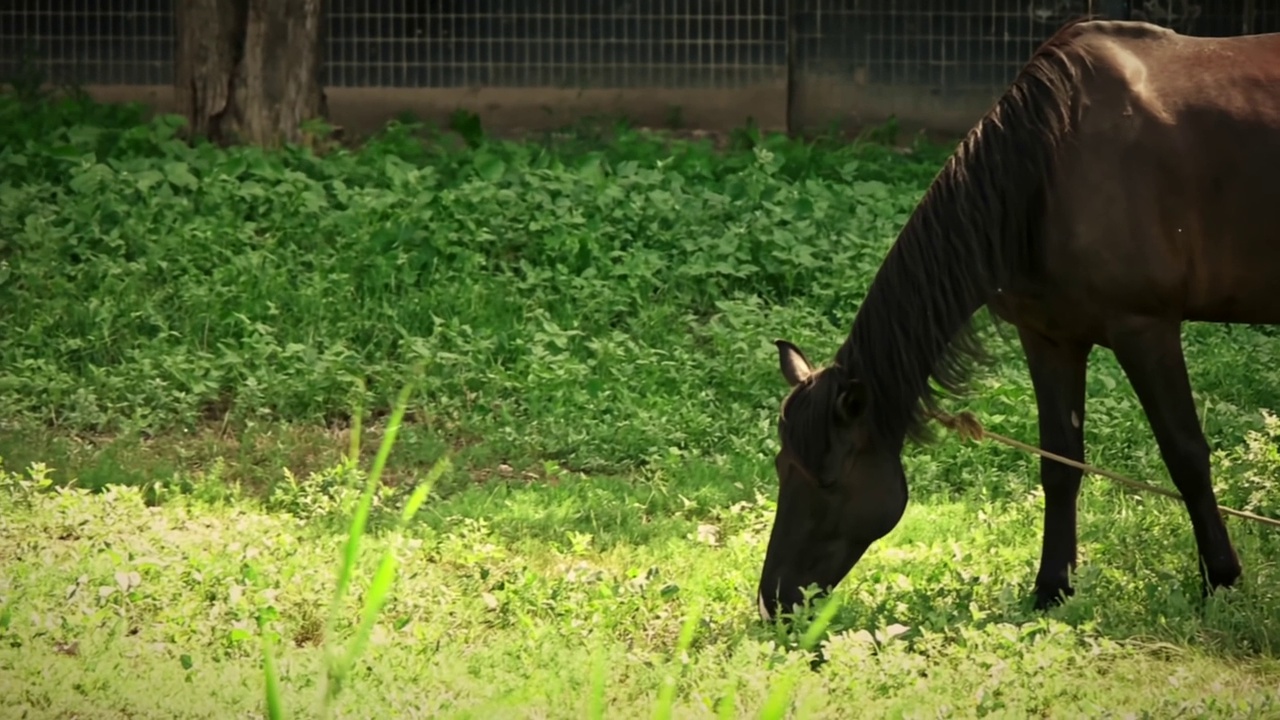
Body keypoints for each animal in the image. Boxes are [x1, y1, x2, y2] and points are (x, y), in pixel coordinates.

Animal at [752, 19, 1280, 620]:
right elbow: (1061, 463)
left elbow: (1186, 454)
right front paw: (1052, 587)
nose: (775, 600)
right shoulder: (1049, 337)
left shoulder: (1145, 330)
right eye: (781, 466)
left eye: (827, 480)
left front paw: (1222, 580)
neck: (1048, 166)